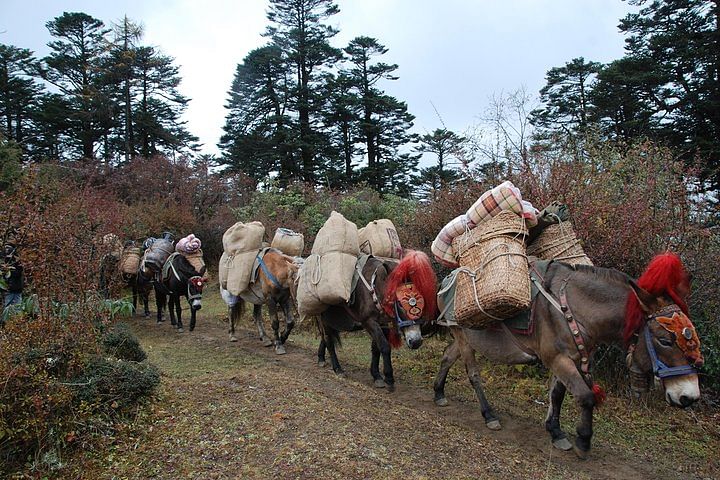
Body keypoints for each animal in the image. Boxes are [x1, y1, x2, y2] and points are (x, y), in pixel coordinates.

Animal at [434, 251, 704, 458]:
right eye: (665, 340)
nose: (689, 397)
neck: (576, 307)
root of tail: (446, 280)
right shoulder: (557, 359)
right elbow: (585, 396)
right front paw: (583, 441)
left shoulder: (569, 358)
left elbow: (558, 394)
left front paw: (555, 431)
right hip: (463, 336)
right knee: (473, 374)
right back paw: (489, 414)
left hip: (464, 339)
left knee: (447, 356)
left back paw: (438, 393)